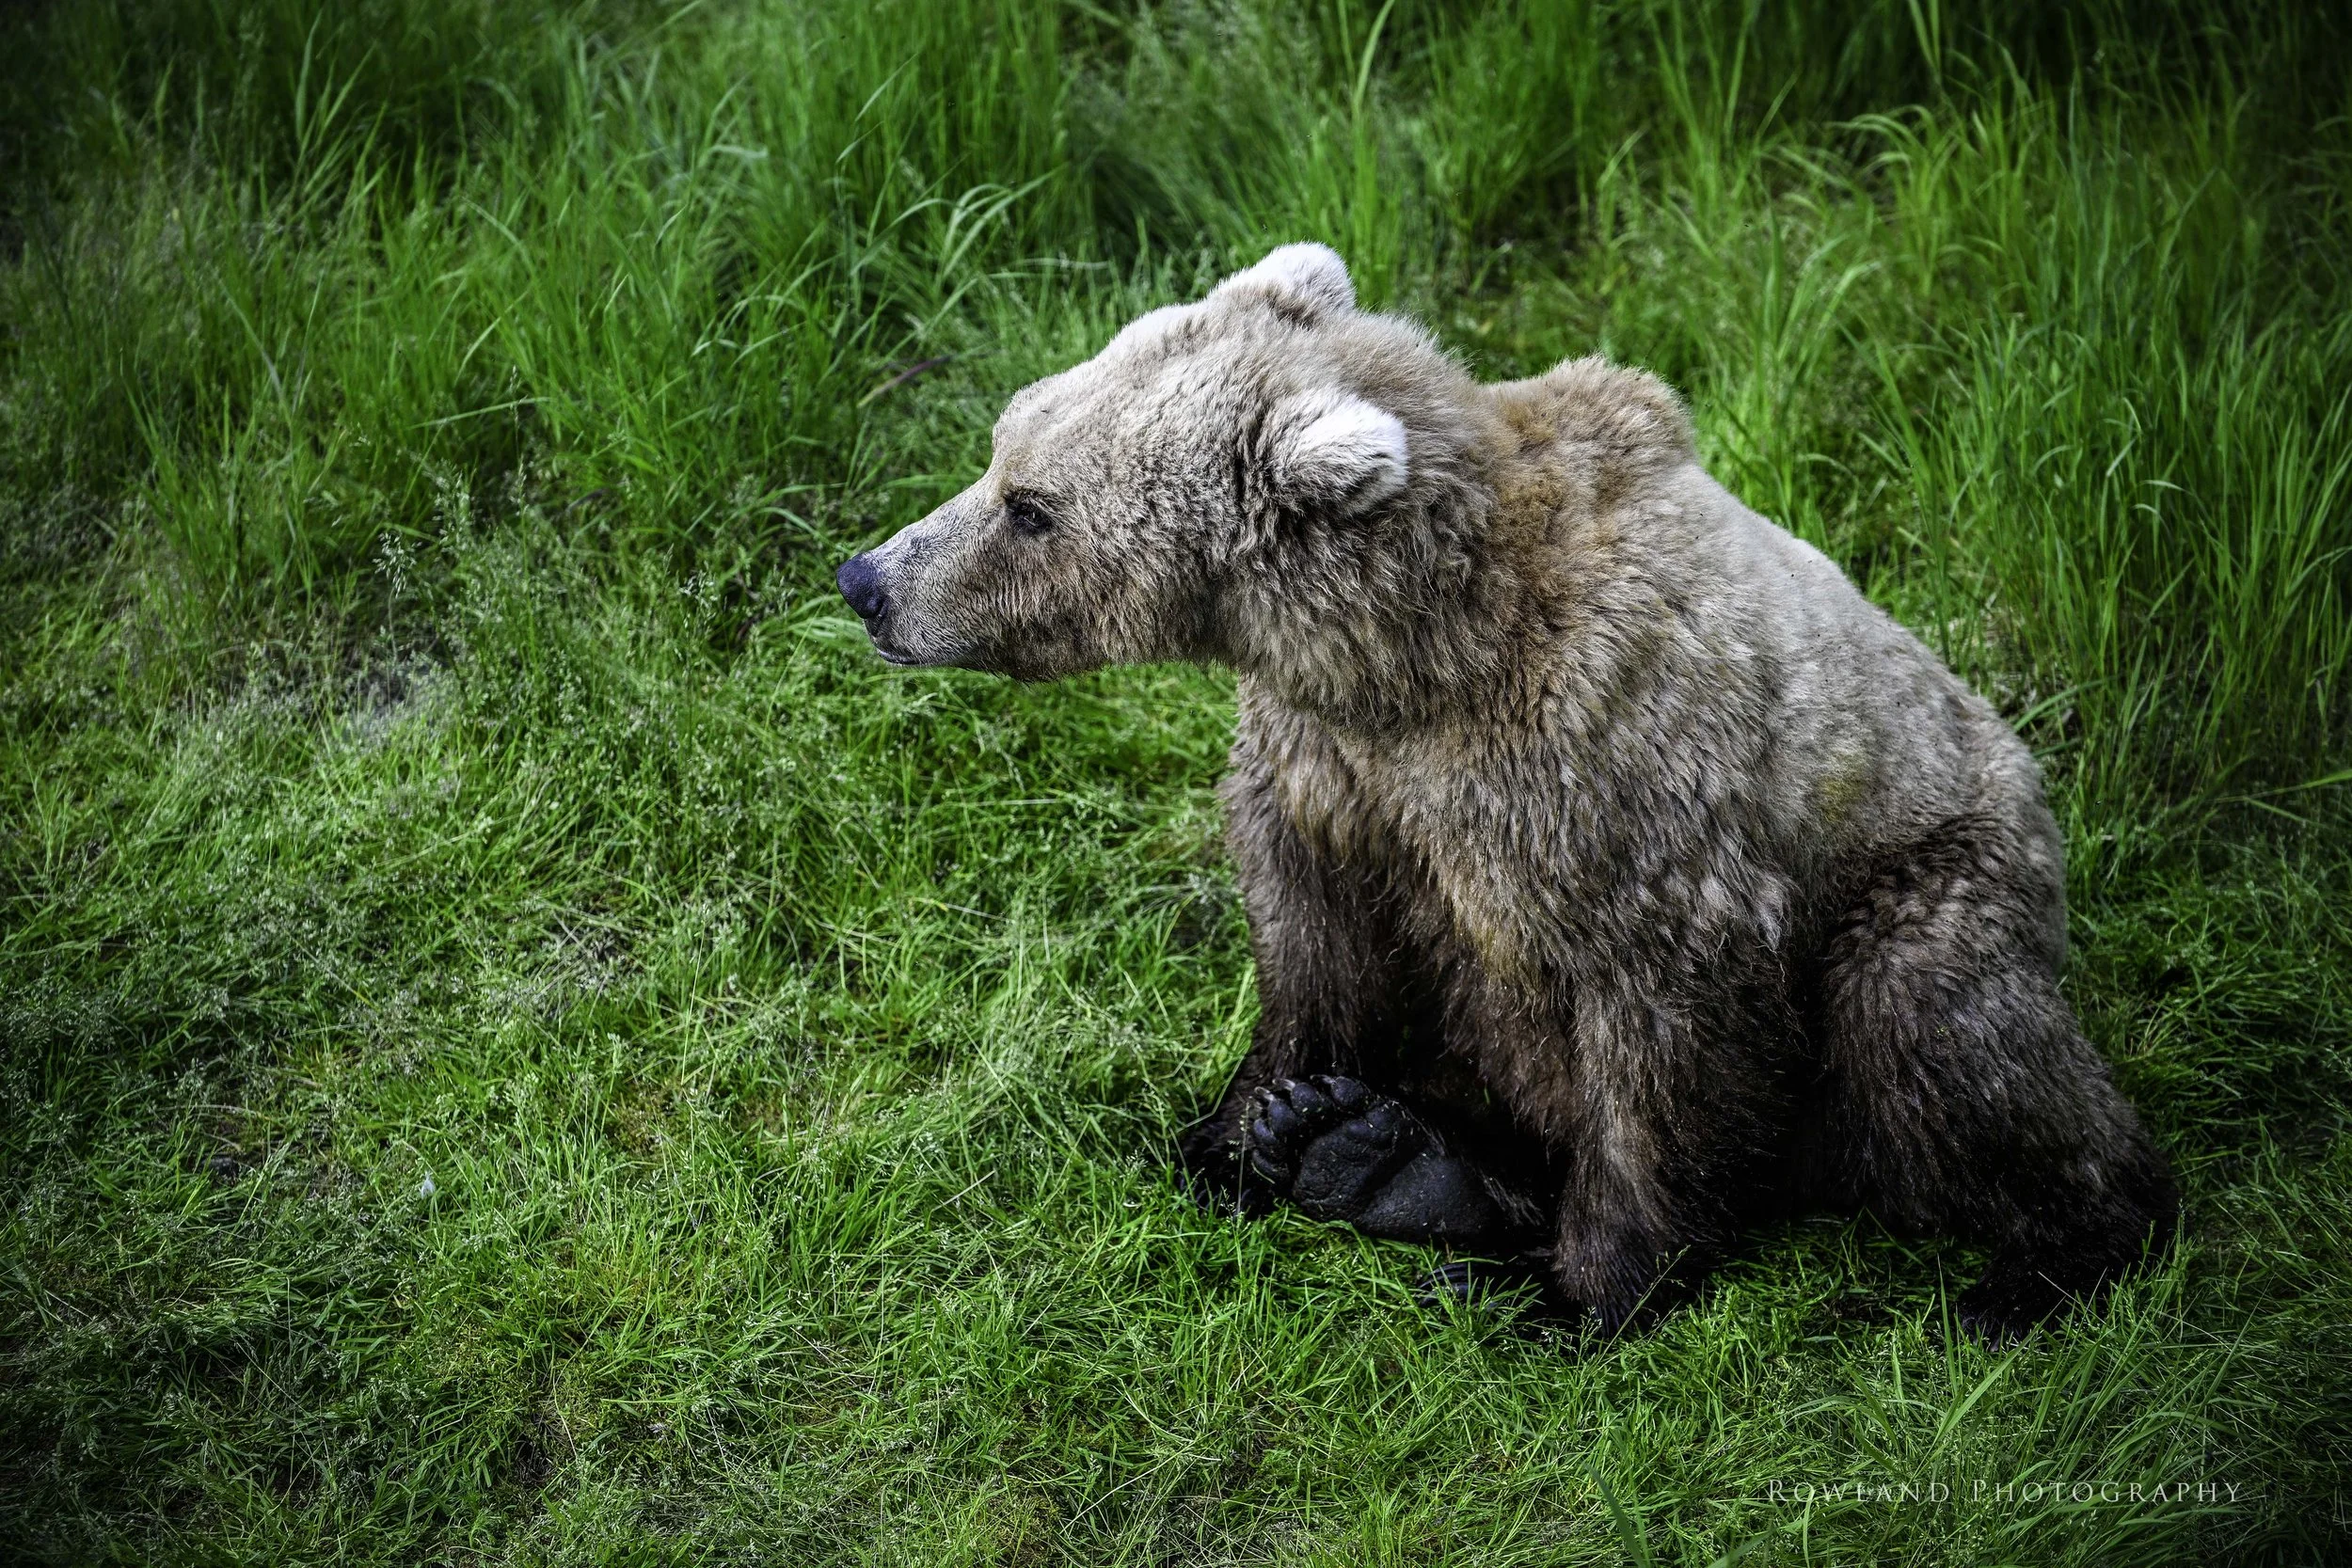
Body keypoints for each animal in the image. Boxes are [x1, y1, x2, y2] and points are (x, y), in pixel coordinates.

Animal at [834, 243, 2177, 1339]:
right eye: (1005, 442)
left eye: (1031, 507)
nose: (867, 579)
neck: (1417, 654)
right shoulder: (1335, 771)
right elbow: (1308, 934)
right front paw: (1248, 1128)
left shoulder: (1613, 782)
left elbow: (1659, 1032)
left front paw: (1581, 1291)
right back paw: (1383, 1155)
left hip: (1938, 876)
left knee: (1938, 1028)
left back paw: (2049, 1260)